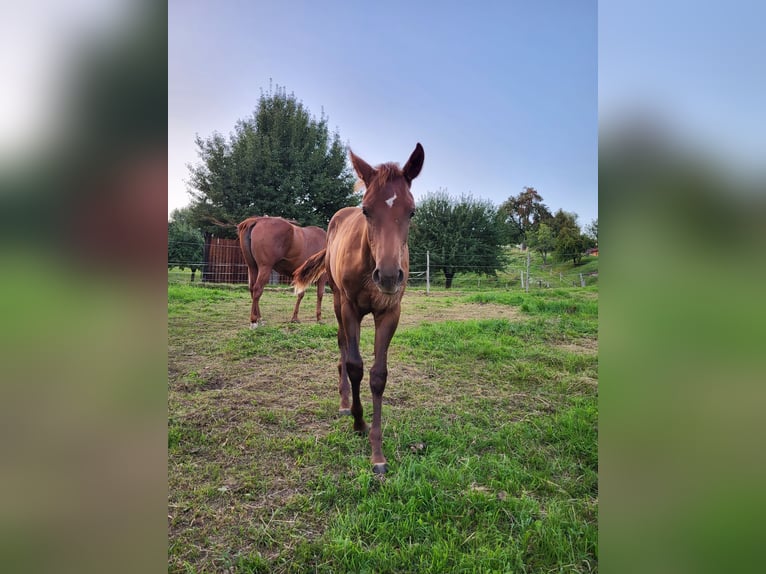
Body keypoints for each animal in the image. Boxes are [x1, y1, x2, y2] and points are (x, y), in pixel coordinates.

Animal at [293, 143, 424, 474]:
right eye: (366, 210)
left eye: (411, 211)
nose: (388, 276)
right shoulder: (350, 308)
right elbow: (354, 365)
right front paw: (358, 421)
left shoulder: (390, 313)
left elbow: (378, 375)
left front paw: (377, 453)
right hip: (338, 301)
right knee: (342, 345)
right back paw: (344, 403)